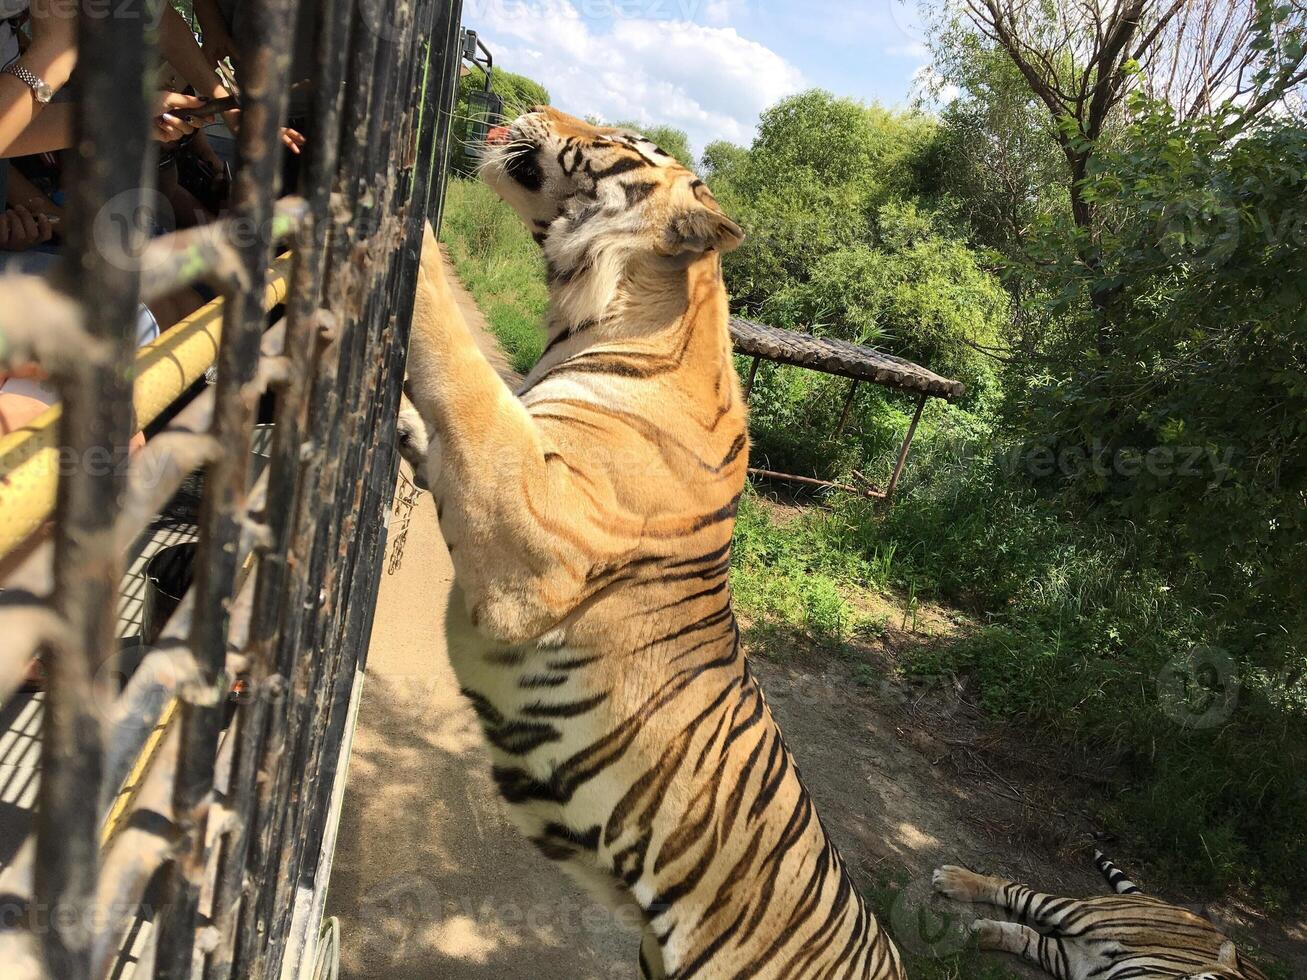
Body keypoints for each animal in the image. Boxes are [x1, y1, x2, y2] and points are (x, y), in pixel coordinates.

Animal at [397, 107, 904, 980]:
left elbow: (464, 378)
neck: (595, 312)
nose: (534, 108)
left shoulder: (533, 531)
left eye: (611, 139)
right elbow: (450, 401)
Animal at [935, 846, 1270, 977]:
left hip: (1071, 960)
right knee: (1016, 891)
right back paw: (953, 880)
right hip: (1087, 915)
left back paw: (978, 934)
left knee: (1028, 937)